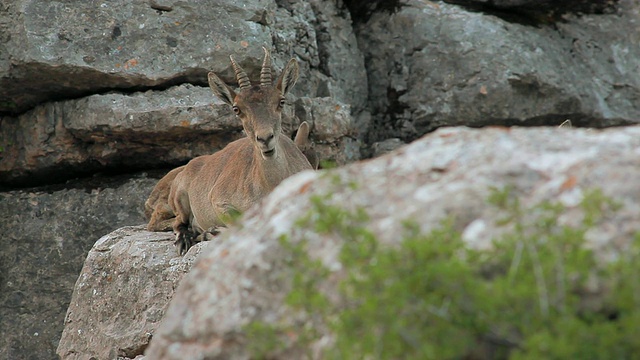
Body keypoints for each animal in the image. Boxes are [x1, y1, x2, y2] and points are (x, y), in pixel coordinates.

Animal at [168, 47, 312, 255]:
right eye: (237, 109)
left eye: (281, 101)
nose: (265, 139)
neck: (271, 185)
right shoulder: (219, 200)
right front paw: (214, 231)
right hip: (179, 196)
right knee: (178, 222)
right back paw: (187, 239)